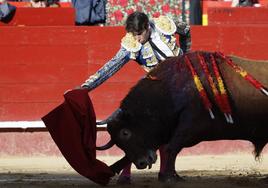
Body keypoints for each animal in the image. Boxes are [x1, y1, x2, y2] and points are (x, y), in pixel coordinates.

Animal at [99, 50, 266, 181]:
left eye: (125, 133)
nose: (141, 164)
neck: (170, 91)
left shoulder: (190, 125)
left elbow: (171, 148)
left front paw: (169, 177)